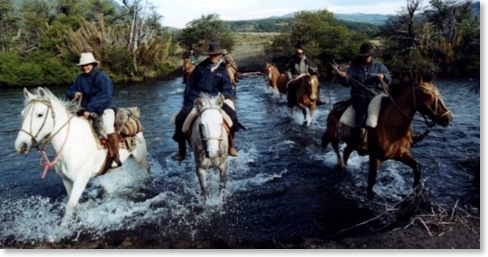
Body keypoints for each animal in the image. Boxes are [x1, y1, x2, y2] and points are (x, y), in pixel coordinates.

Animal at [14, 87, 149, 223]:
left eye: (40, 114)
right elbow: (75, 204)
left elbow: (70, 205)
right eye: (22, 114)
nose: (20, 146)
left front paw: (63, 227)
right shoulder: (66, 180)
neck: (72, 144)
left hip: (140, 159)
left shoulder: (81, 179)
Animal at [320, 75, 454, 197]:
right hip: (333, 135)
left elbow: (417, 167)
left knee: (346, 152)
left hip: (351, 143)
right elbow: (371, 182)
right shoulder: (375, 157)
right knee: (334, 147)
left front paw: (415, 193)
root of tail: (335, 107)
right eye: (427, 95)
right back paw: (338, 163)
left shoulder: (401, 154)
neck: (391, 127)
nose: (448, 118)